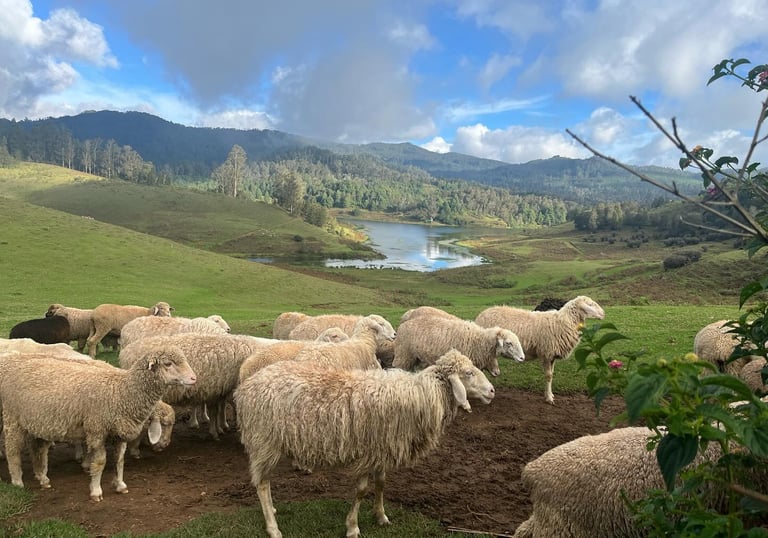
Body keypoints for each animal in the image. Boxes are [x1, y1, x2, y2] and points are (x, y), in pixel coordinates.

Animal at [0, 347, 196, 501]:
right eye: (168, 364)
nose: (194, 378)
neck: (121, 391)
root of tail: (12, 363)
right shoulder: (97, 430)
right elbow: (100, 462)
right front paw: (96, 491)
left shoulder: (118, 432)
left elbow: (119, 460)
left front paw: (120, 485)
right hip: (12, 418)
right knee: (13, 450)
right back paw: (17, 481)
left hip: (38, 423)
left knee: (39, 450)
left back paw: (43, 479)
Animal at [119, 333, 278, 440]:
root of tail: (126, 351)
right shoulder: (216, 389)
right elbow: (215, 411)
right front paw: (216, 432)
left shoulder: (219, 390)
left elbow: (219, 409)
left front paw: (221, 427)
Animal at [234, 348, 496, 538]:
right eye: (469, 373)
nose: (492, 391)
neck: (420, 395)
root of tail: (246, 386)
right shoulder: (369, 452)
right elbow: (361, 490)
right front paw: (353, 527)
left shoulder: (383, 450)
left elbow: (381, 483)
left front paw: (381, 517)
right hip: (264, 441)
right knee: (262, 484)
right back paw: (273, 527)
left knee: (264, 482)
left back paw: (272, 511)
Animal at [392, 316, 524, 377]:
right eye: (509, 343)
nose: (522, 358)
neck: (478, 341)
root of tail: (403, 325)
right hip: (403, 355)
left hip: (415, 358)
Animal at [475, 295, 605, 404]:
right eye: (590, 304)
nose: (604, 313)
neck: (563, 322)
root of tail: (481, 315)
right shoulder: (547, 353)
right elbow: (548, 376)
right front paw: (548, 398)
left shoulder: (552, 356)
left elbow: (552, 375)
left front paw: (550, 395)